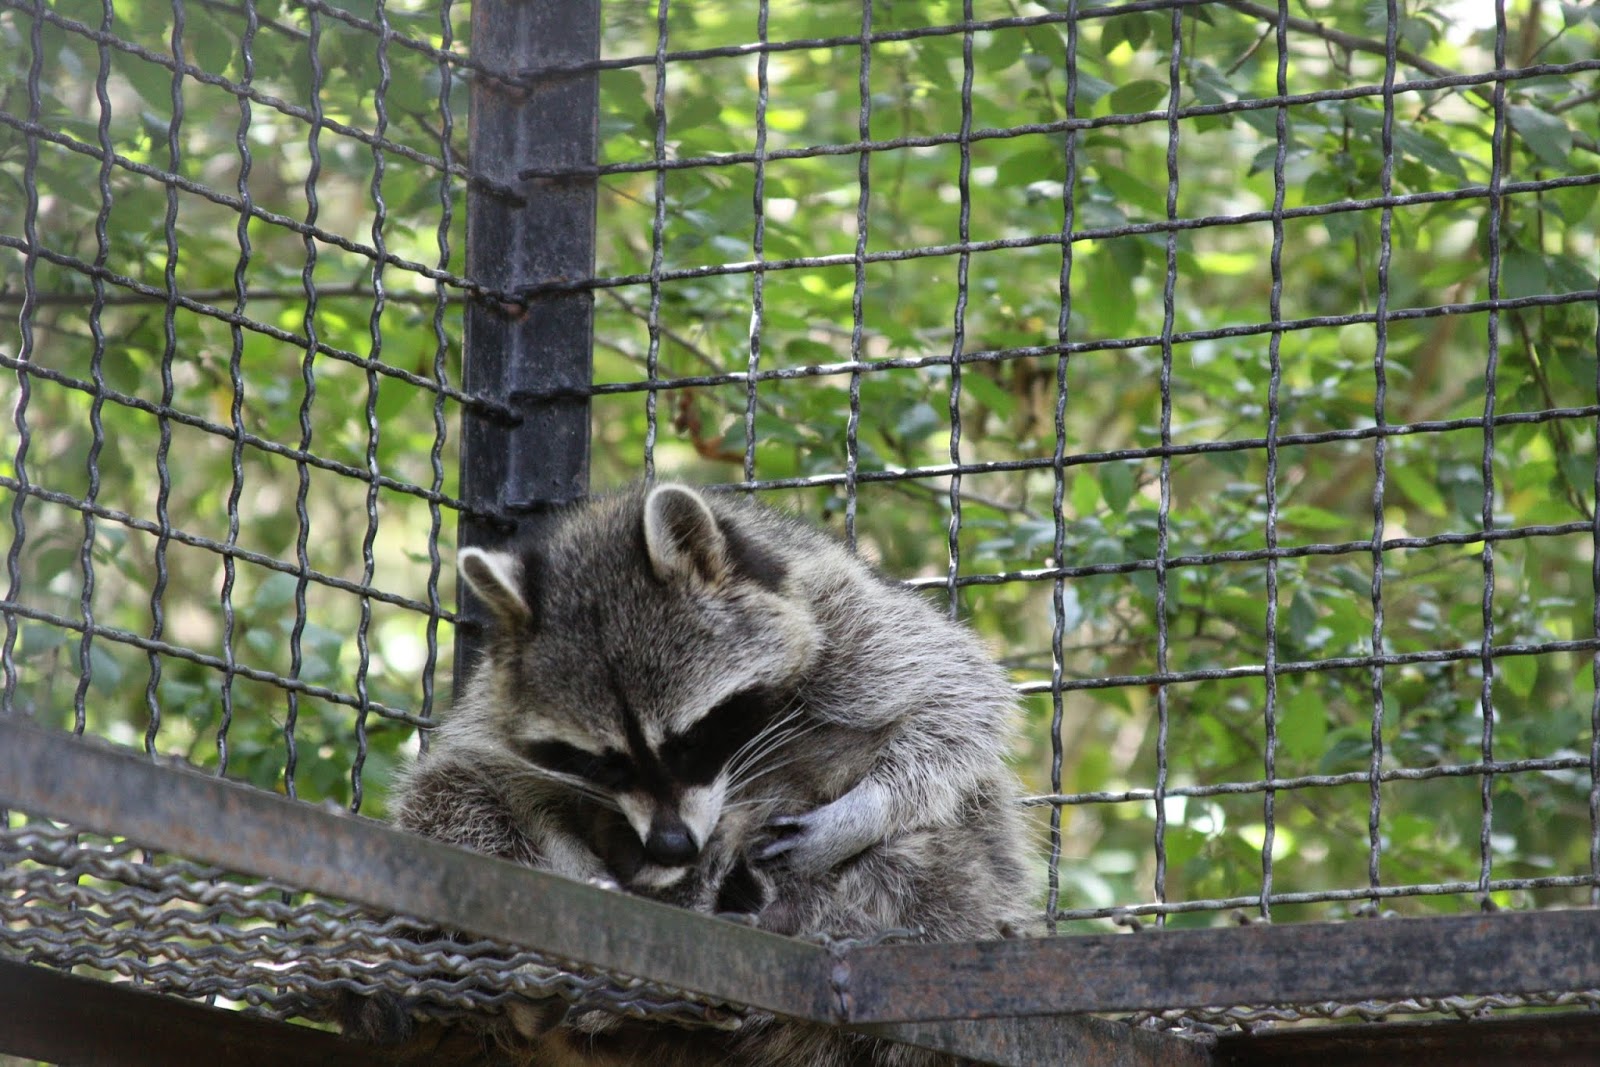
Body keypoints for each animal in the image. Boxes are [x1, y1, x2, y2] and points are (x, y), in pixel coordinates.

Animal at [388, 489, 1036, 1062]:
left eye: (690, 740)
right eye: (604, 762)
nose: (671, 846)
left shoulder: (846, 618)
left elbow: (958, 697)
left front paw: (858, 813)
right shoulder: (493, 708)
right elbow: (474, 774)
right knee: (448, 795)